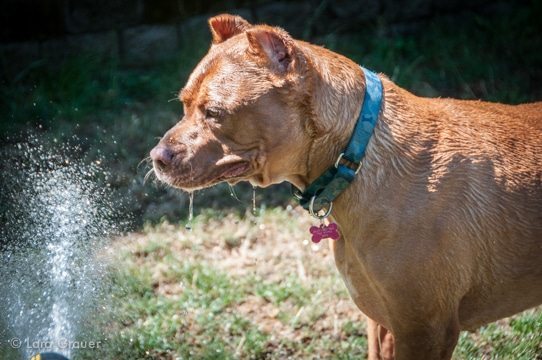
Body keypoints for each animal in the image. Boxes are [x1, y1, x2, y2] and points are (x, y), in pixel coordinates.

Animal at [150, 14, 542, 360]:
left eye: (214, 113)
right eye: (184, 104)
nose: (157, 157)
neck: (357, 154)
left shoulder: (426, 330)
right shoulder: (385, 325)